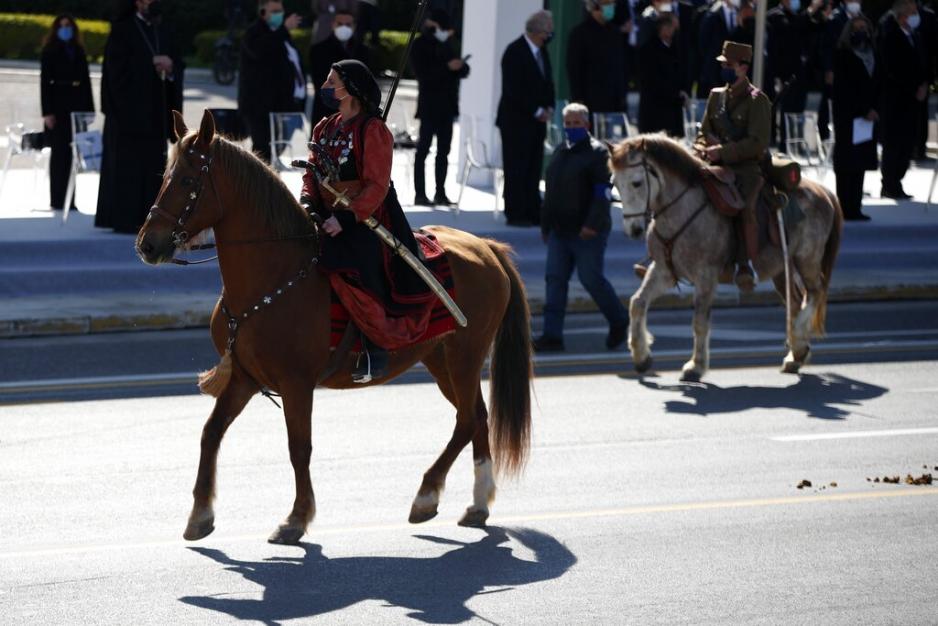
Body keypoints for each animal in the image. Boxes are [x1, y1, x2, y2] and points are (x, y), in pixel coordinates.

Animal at [134, 109, 532, 544]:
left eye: (189, 182)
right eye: (166, 175)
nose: (147, 245)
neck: (274, 277)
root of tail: (486, 247)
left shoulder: (295, 383)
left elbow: (299, 446)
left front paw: (296, 518)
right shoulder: (243, 377)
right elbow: (211, 433)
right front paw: (200, 514)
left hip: (465, 356)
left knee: (467, 419)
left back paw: (428, 494)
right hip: (440, 359)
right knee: (476, 415)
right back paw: (477, 503)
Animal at [608, 135, 840, 380]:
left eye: (636, 183)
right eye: (615, 184)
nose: (633, 229)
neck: (682, 208)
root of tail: (824, 191)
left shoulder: (706, 277)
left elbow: (700, 321)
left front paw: (695, 366)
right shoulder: (663, 270)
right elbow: (637, 303)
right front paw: (641, 356)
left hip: (807, 259)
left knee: (815, 293)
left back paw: (798, 339)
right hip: (781, 268)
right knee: (795, 302)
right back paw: (796, 353)